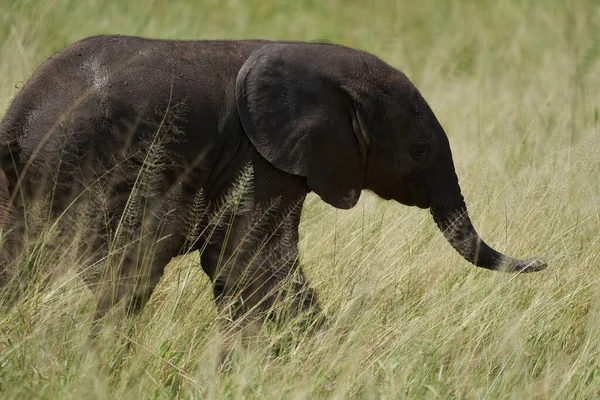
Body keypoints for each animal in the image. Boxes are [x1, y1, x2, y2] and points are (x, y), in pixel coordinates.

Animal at [0, 36, 548, 332]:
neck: (323, 64)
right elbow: (251, 263)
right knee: (125, 269)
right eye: (420, 152)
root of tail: (19, 121)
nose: (545, 263)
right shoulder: (262, 159)